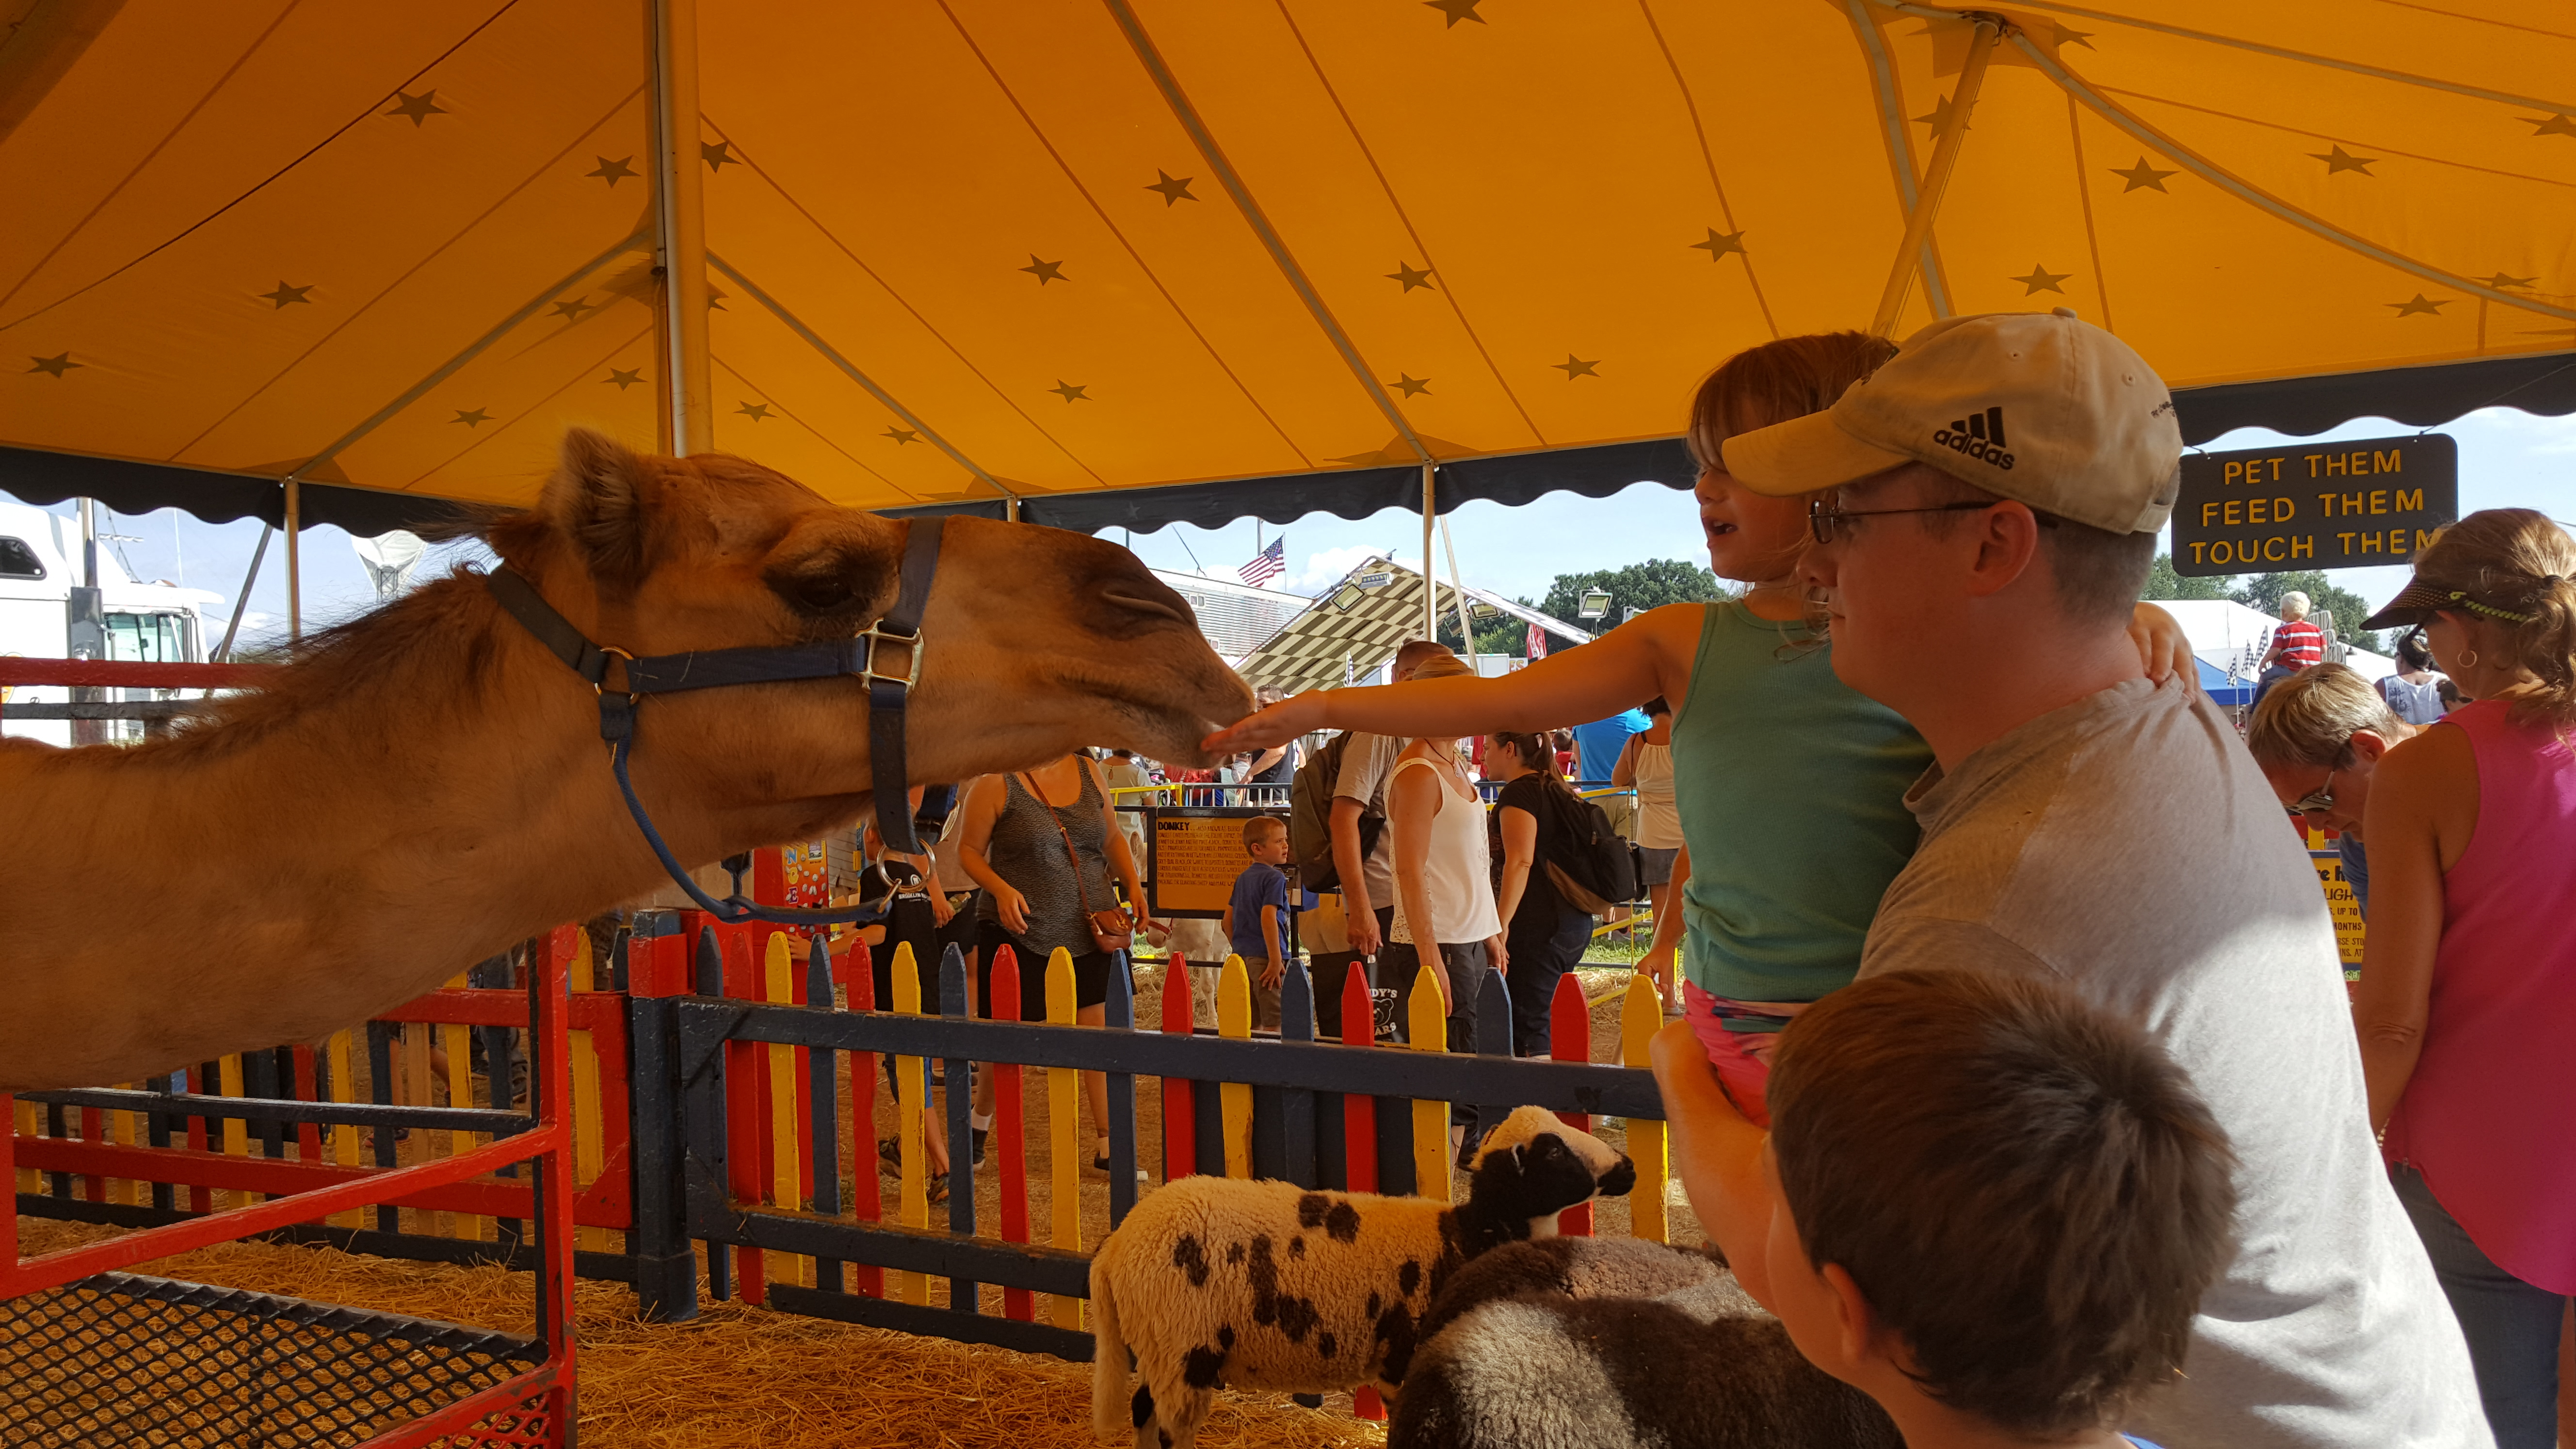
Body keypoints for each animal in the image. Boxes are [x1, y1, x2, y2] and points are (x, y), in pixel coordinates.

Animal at [1087, 1098, 1628, 1433]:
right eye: (1552, 1150)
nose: (1629, 1168)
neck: (1468, 1236)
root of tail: (1116, 1246)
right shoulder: (1403, 1361)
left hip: (1161, 1346)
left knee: (1142, 1408)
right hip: (1183, 1345)